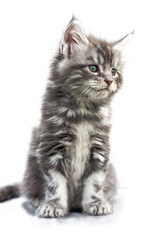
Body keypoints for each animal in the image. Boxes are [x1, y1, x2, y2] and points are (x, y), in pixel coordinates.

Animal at [0, 17, 132, 218]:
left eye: (114, 71)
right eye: (93, 68)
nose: (109, 81)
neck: (83, 111)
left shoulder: (100, 149)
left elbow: (95, 181)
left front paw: (96, 202)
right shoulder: (50, 146)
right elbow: (55, 182)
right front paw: (53, 206)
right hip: (30, 172)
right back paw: (37, 199)